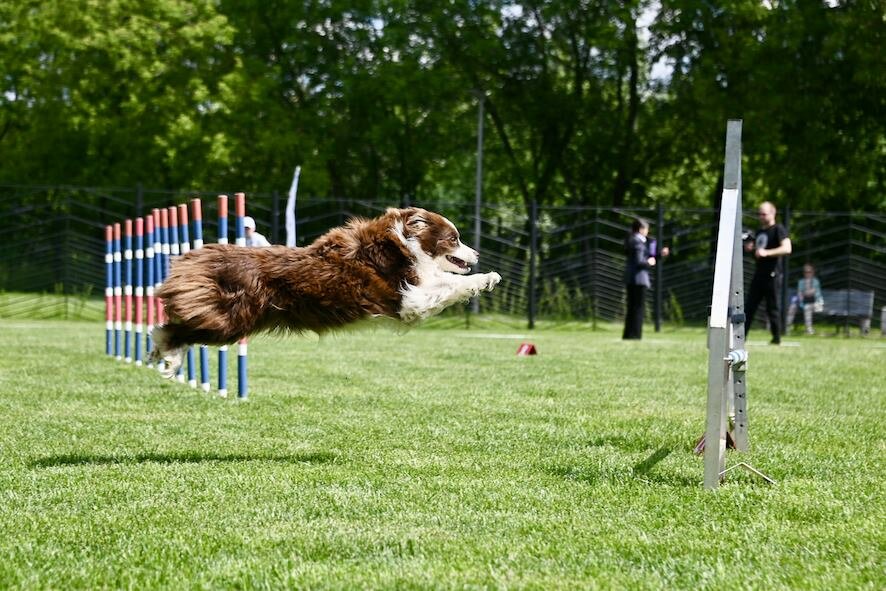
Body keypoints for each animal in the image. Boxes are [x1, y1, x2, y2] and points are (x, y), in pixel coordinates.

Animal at [149, 206, 502, 376]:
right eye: (454, 238)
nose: (477, 254)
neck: (402, 245)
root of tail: (200, 256)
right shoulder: (409, 300)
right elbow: (451, 283)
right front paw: (488, 277)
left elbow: (444, 280)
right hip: (231, 319)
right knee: (172, 330)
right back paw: (167, 357)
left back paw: (162, 357)